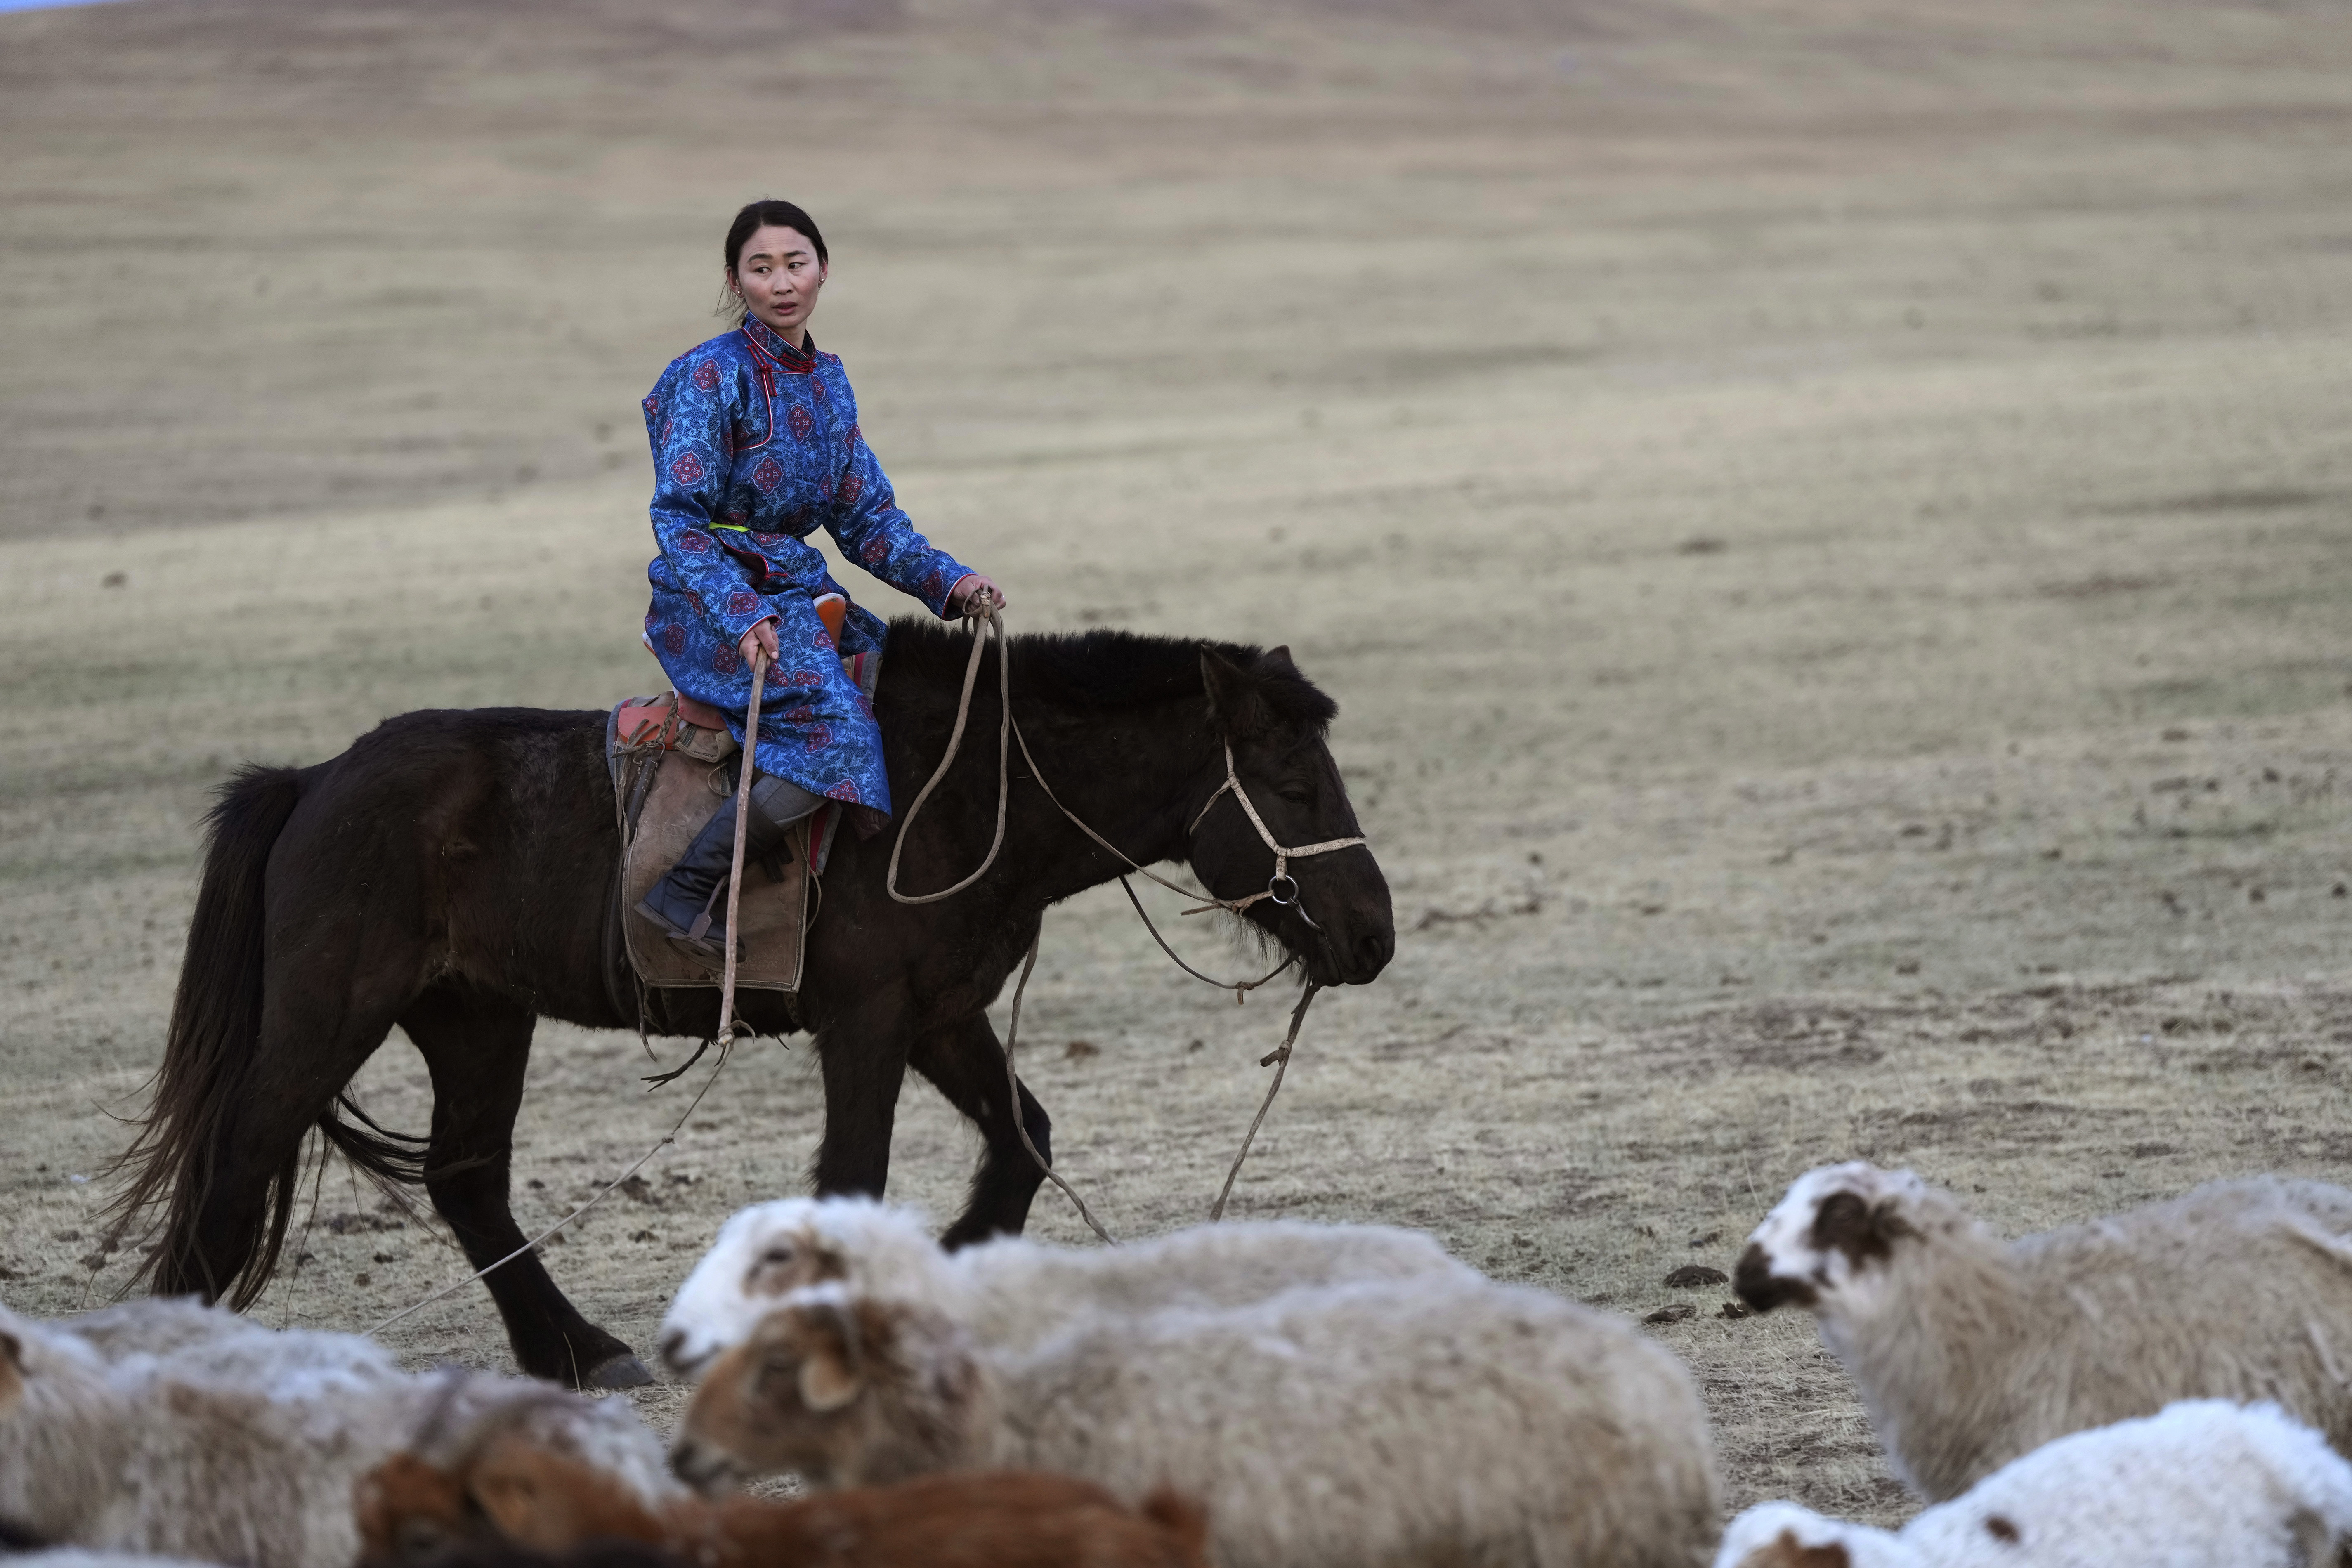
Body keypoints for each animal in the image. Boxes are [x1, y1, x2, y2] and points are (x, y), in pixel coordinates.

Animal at [106, 621, 1392, 1382]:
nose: (1373, 934)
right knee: (237, 1163)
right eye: (1290, 780)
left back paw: (578, 1352)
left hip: (475, 1018)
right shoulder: (870, 1020)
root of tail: (316, 781)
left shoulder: (943, 1014)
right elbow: (854, 1176)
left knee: (465, 1180)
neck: (965, 794)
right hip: (330, 1014)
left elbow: (1023, 1137)